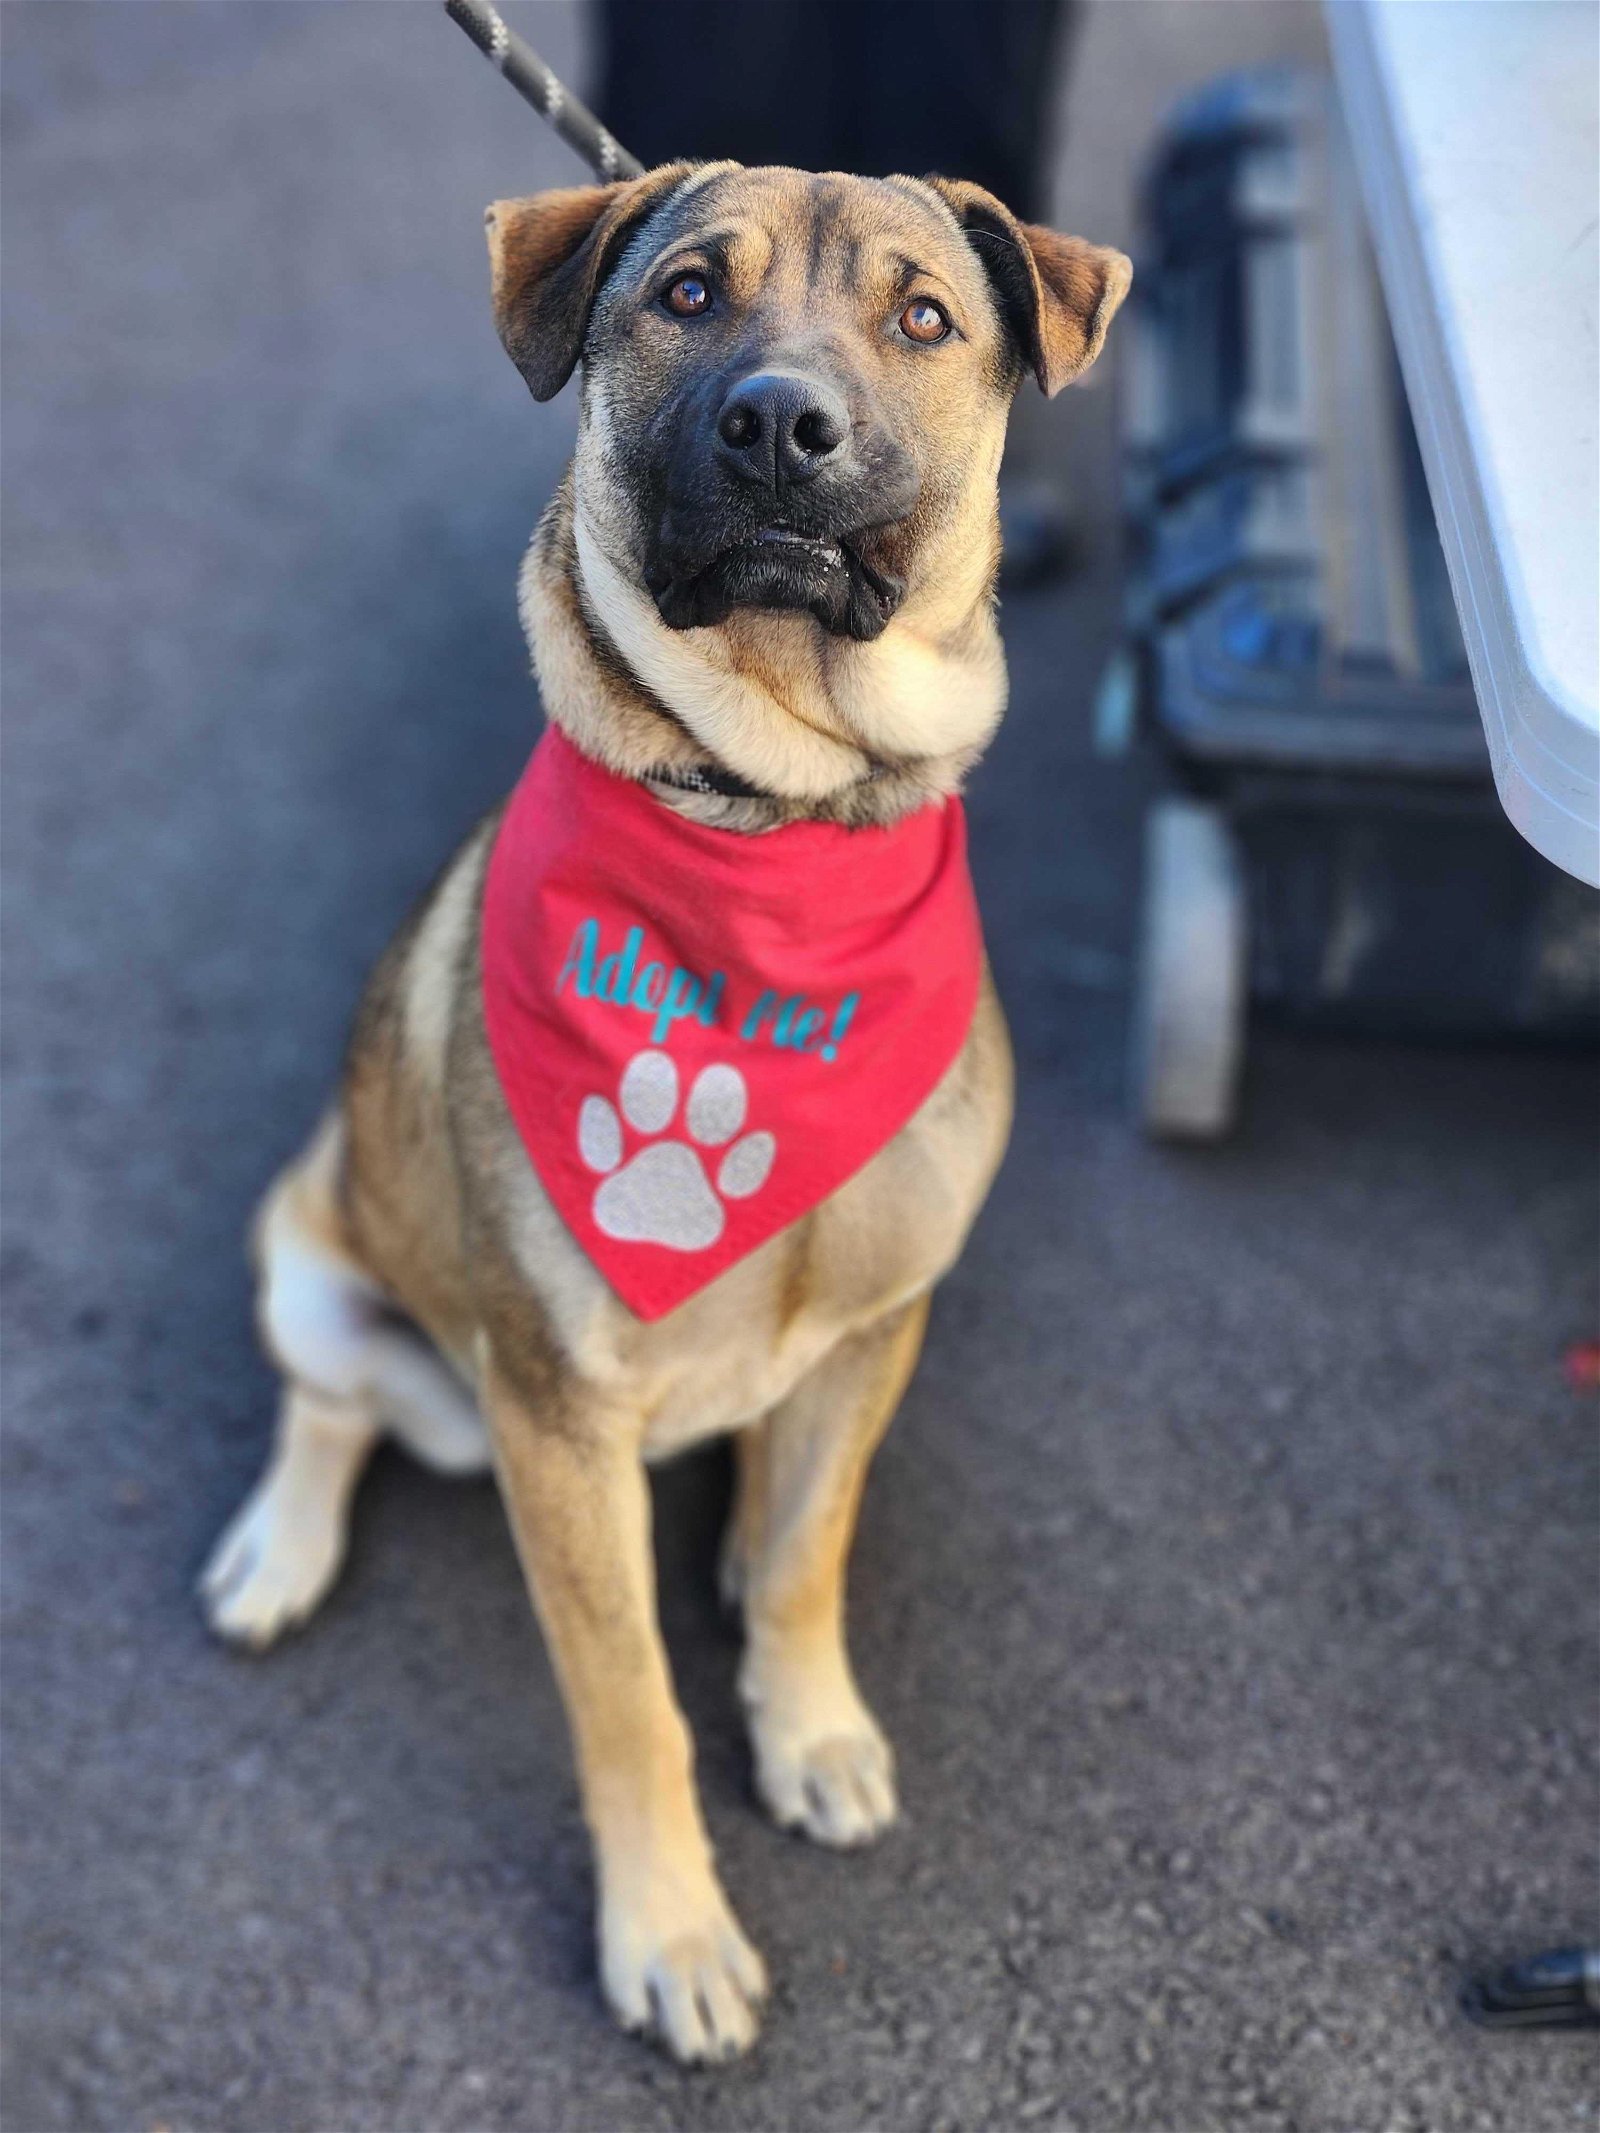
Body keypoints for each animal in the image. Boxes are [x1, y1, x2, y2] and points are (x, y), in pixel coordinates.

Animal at [203, 157, 1126, 2056]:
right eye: (689, 294)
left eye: (926, 315)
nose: (781, 423)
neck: (769, 820)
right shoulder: (559, 1423)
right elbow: (627, 1702)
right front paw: (672, 1928)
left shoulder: (879, 1325)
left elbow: (808, 1554)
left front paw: (806, 1714)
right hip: (320, 1258)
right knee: (329, 1404)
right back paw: (278, 1547)